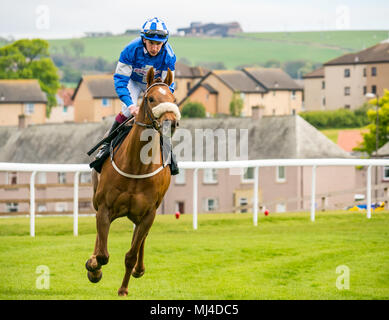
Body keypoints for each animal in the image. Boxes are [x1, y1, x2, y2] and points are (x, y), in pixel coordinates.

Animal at [85, 67, 179, 296]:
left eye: (173, 98)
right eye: (151, 98)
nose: (170, 122)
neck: (136, 166)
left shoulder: (148, 214)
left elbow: (131, 254)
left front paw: (123, 288)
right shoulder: (104, 208)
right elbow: (103, 253)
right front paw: (94, 267)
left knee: (140, 238)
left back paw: (139, 269)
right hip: (97, 200)